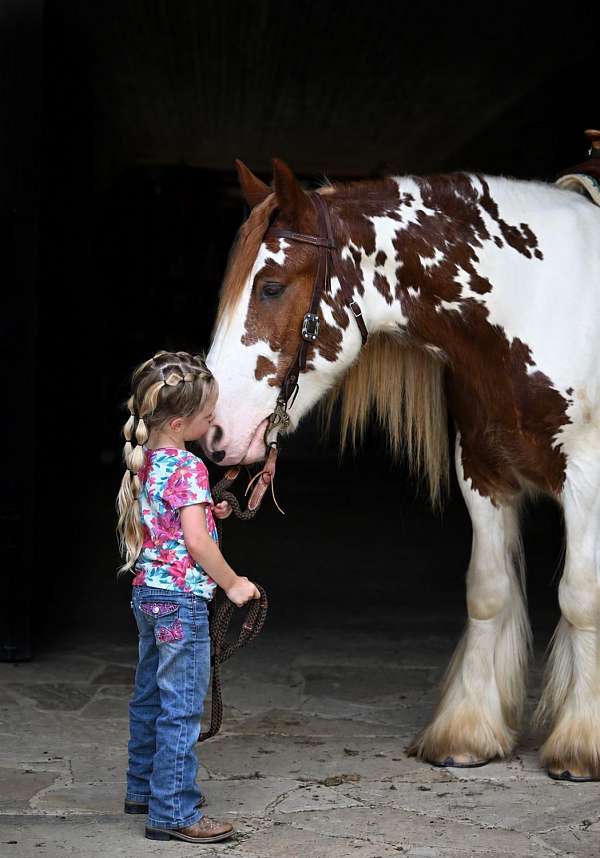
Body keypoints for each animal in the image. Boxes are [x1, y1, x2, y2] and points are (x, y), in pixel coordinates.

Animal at [203, 157, 600, 781]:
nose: (216, 432)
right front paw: (466, 732)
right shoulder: (482, 472)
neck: (540, 301)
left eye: (270, 287)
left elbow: (581, 598)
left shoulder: (586, 479)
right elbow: (487, 592)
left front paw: (582, 744)